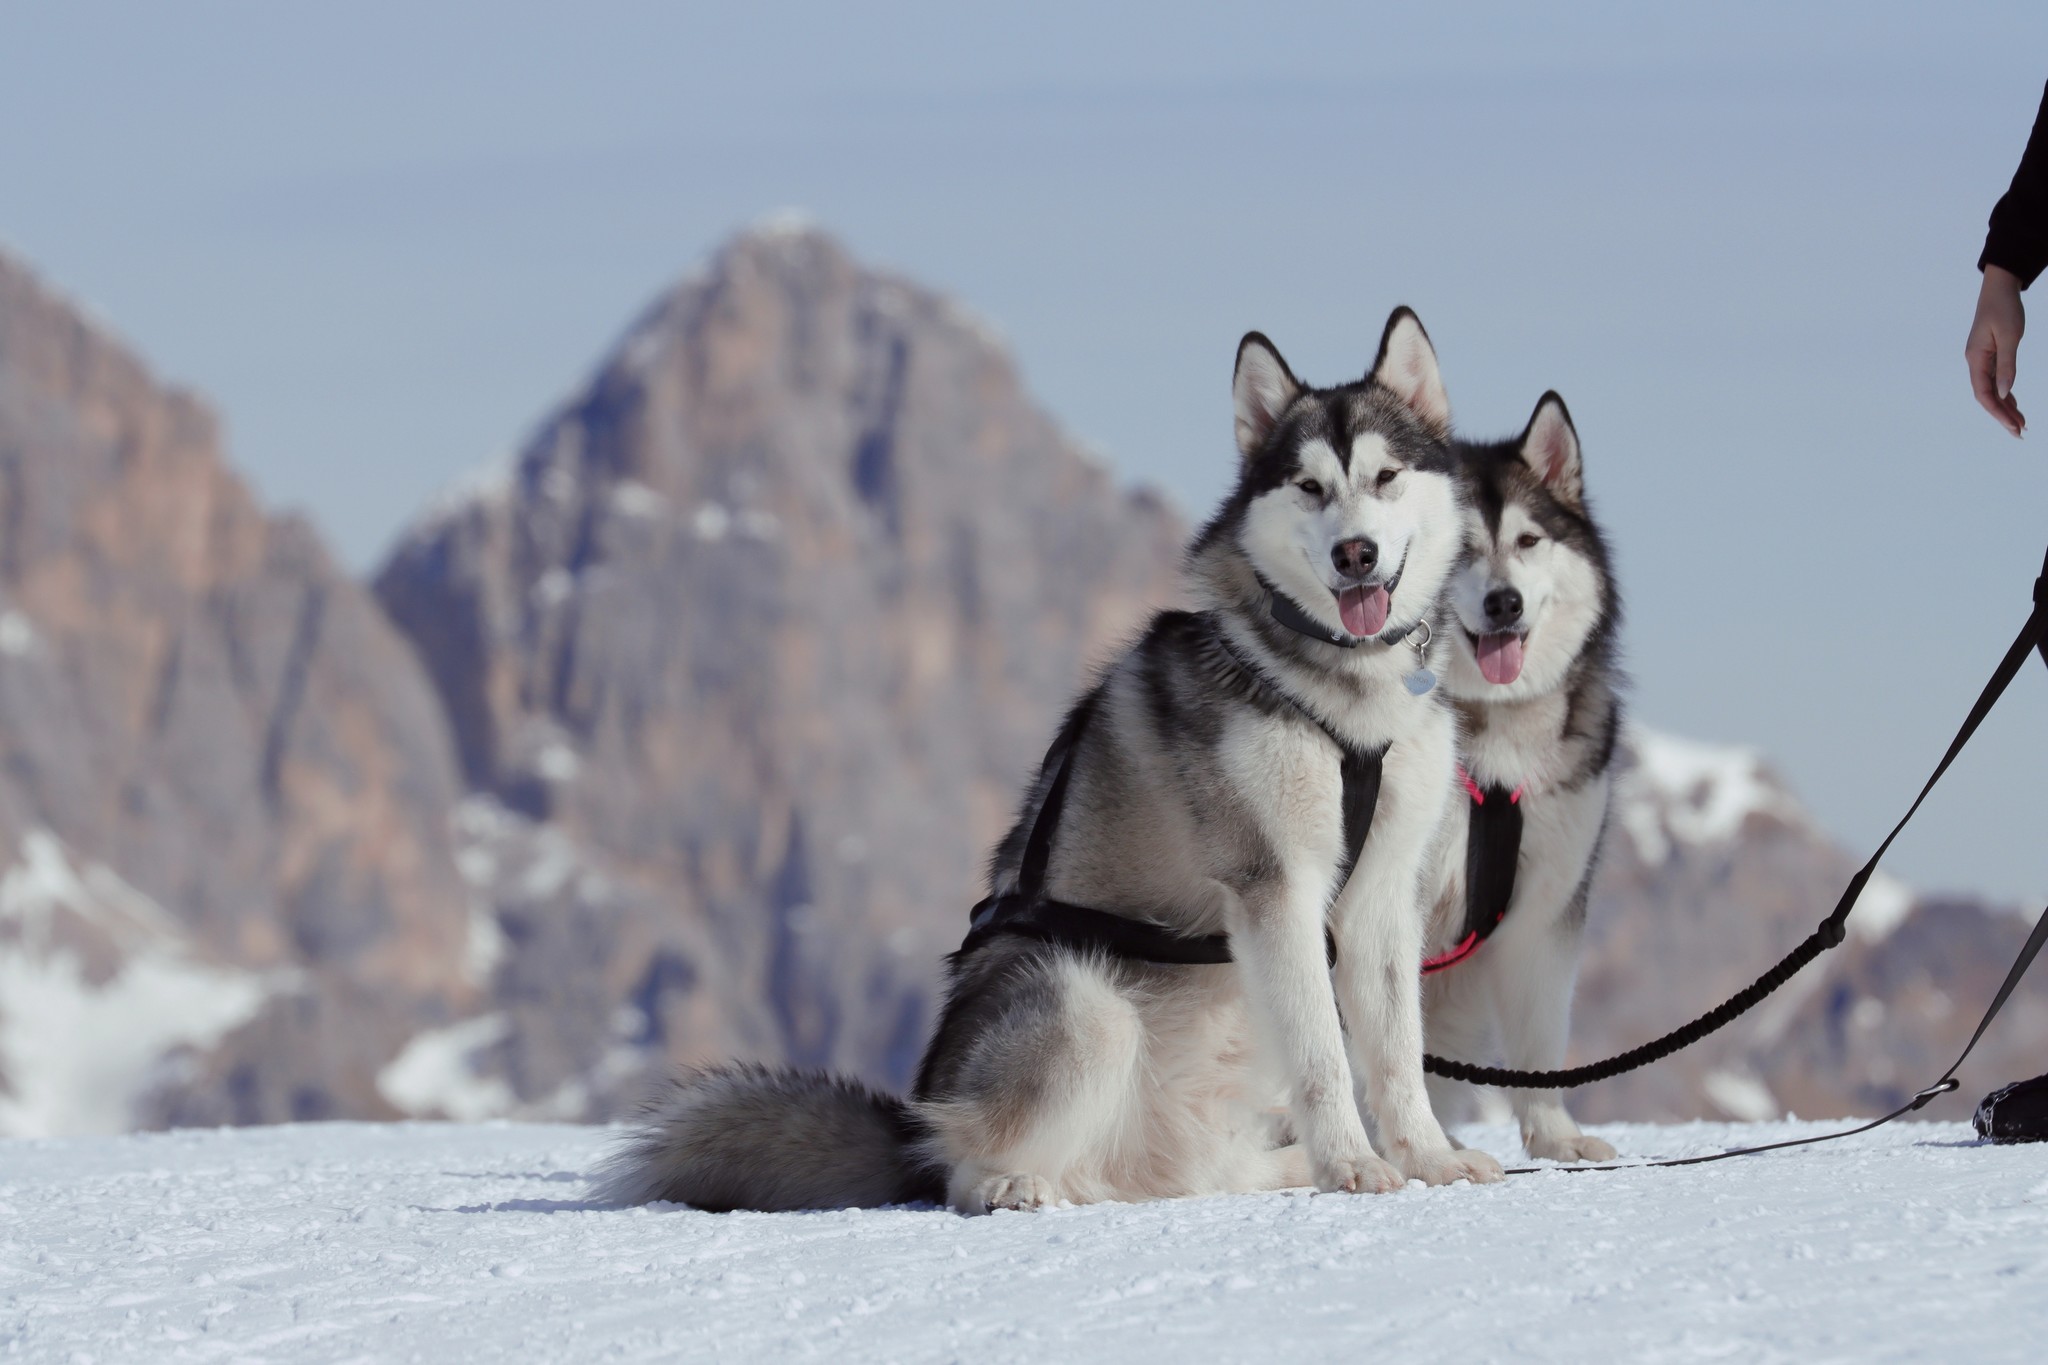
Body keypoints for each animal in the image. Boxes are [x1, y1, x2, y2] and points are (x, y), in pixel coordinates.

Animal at [593, 313, 1507, 1219]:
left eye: (1386, 477)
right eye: (1310, 487)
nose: (1356, 553)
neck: (1345, 696)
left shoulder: (1382, 893)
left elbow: (1397, 1053)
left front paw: (1428, 1156)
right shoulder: (1275, 883)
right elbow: (1322, 1055)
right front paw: (1353, 1164)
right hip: (1082, 1000)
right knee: (959, 1162)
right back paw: (1008, 1183)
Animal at [1417, 394, 1622, 1162]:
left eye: (1529, 540)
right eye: (1460, 549)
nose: (1504, 602)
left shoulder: (1547, 908)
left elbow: (1539, 1033)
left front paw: (1556, 1136)